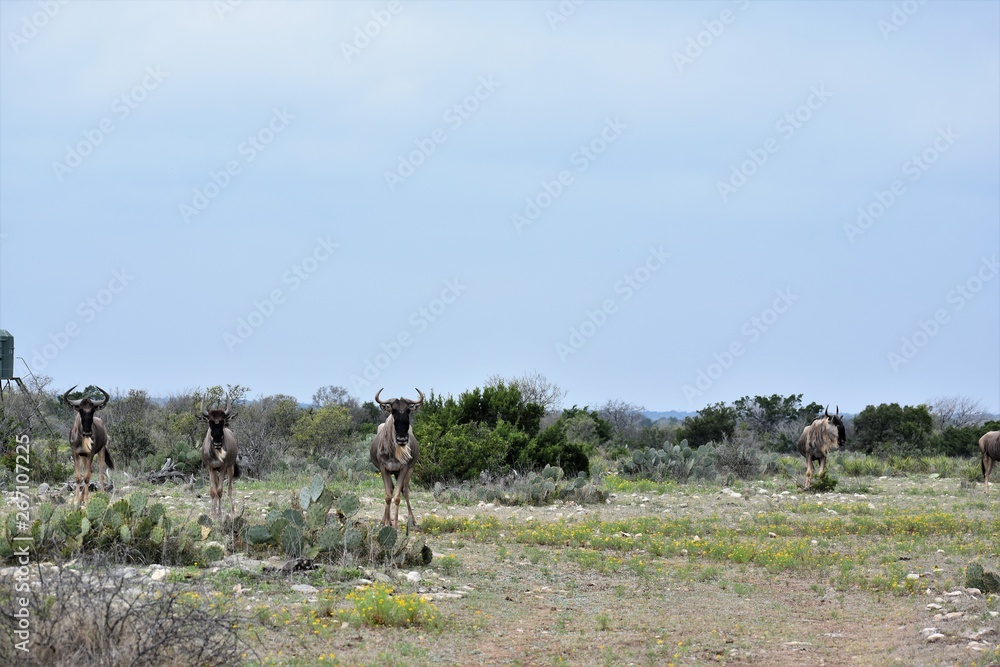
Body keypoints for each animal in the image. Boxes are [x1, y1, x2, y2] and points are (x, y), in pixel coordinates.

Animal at [370, 388, 423, 529]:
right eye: (393, 410)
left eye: (408, 410)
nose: (402, 439)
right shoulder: (384, 469)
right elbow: (388, 496)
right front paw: (386, 522)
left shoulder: (404, 468)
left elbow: (398, 497)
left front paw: (395, 525)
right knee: (391, 489)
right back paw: (384, 520)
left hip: (407, 471)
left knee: (405, 491)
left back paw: (413, 520)